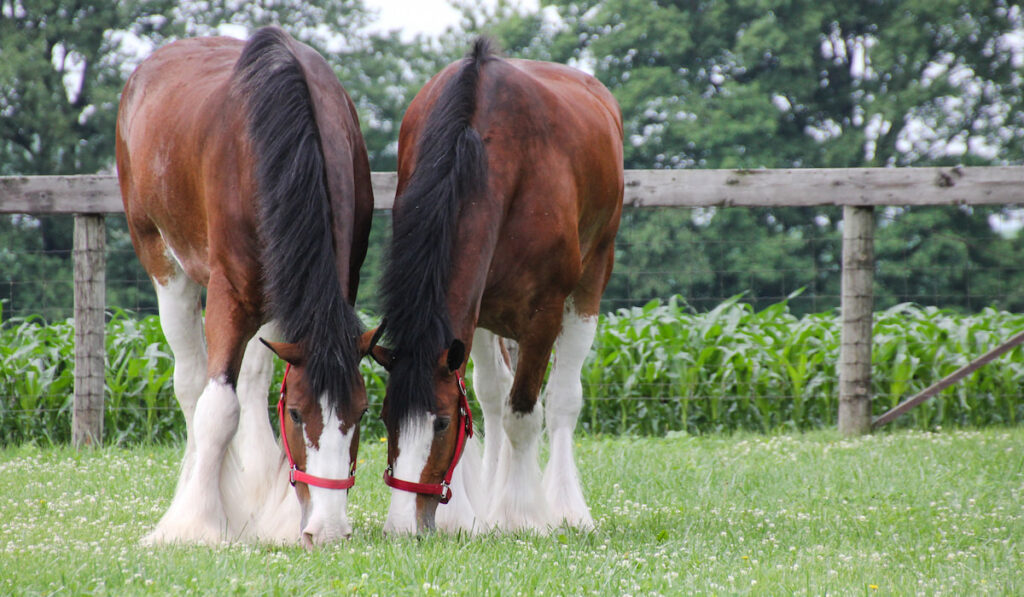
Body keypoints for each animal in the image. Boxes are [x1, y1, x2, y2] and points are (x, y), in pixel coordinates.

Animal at [117, 29, 372, 552]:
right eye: (296, 414)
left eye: (361, 411)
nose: (328, 530)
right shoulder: (229, 295)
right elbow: (218, 406)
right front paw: (193, 524)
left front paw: (279, 516)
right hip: (163, 264)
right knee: (192, 384)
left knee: (252, 380)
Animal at [368, 38, 622, 532]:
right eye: (387, 418)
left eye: (441, 424)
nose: (404, 525)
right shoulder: (475, 310)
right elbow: (484, 399)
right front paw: (466, 513)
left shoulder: (544, 312)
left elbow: (522, 411)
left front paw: (520, 514)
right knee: (492, 393)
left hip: (589, 285)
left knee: (561, 400)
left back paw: (566, 507)